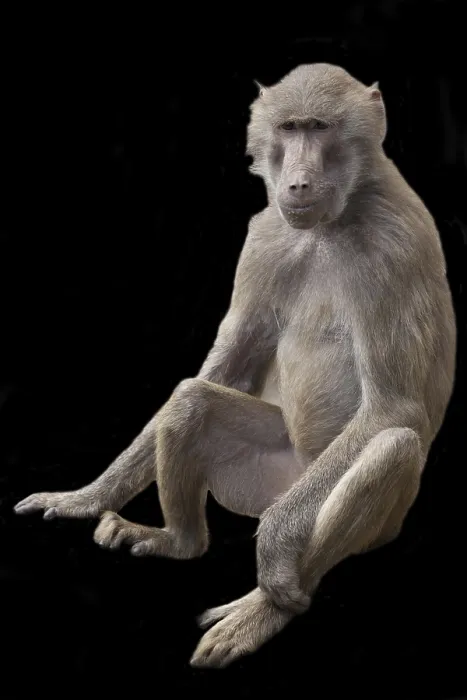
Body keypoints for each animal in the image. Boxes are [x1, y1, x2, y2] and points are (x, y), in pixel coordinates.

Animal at [14, 63, 456, 669]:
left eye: (319, 128)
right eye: (290, 128)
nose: (297, 184)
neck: (337, 217)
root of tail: (296, 474)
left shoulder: (394, 247)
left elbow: (393, 407)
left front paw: (272, 551)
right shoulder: (263, 240)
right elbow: (222, 370)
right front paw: (85, 497)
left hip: (360, 512)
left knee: (391, 446)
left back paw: (264, 607)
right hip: (263, 477)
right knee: (191, 400)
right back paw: (178, 542)